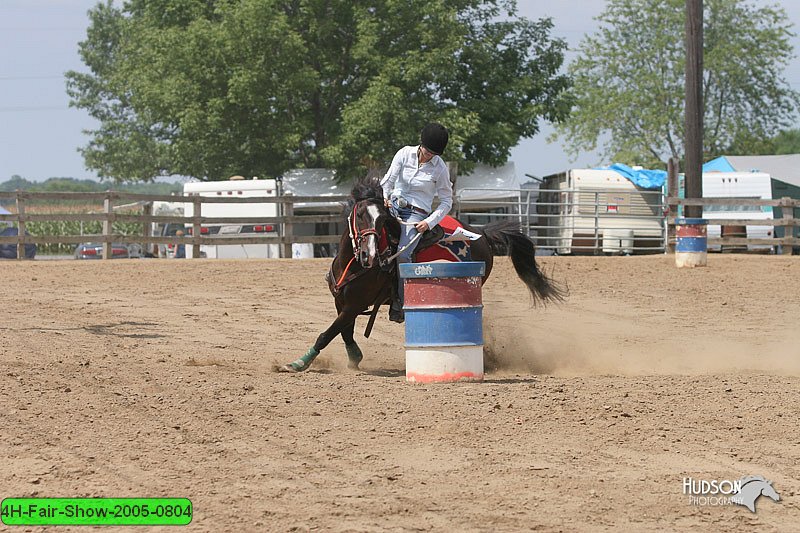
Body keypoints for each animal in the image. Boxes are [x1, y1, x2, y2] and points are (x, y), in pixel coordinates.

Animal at [278, 177, 564, 372]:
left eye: (382, 220)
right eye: (359, 215)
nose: (370, 254)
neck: (354, 264)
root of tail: (480, 232)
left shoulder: (355, 305)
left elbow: (328, 333)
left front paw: (297, 363)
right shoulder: (342, 302)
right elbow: (344, 332)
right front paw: (354, 357)